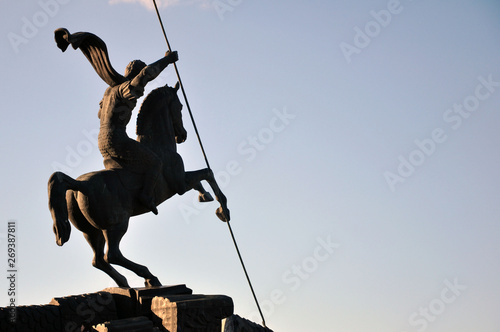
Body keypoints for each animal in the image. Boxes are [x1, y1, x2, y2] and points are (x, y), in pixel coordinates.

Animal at [47, 81, 229, 286]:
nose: (182, 135)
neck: (159, 145)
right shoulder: (180, 185)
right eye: (180, 106)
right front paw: (223, 211)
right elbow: (206, 173)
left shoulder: (181, 181)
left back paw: (125, 283)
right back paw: (150, 277)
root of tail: (79, 187)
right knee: (112, 255)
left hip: (91, 231)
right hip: (117, 224)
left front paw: (205, 196)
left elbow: (200, 179)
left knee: (98, 260)